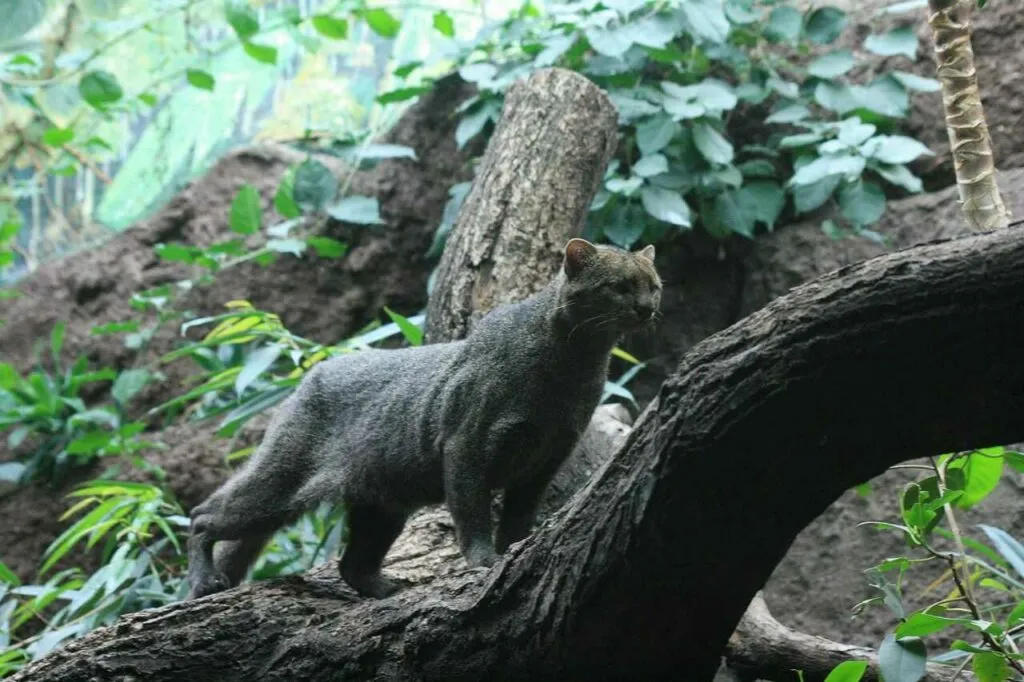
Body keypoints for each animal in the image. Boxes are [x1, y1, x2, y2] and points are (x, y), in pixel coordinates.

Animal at [185, 236, 663, 598]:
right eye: (620, 286)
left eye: (654, 285)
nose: (646, 308)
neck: (572, 366)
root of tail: (308, 379)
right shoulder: (468, 444)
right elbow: (471, 512)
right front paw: (484, 562)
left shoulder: (546, 458)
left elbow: (517, 517)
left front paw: (518, 549)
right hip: (280, 486)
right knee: (203, 515)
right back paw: (205, 579)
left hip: (383, 504)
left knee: (351, 565)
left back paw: (386, 589)